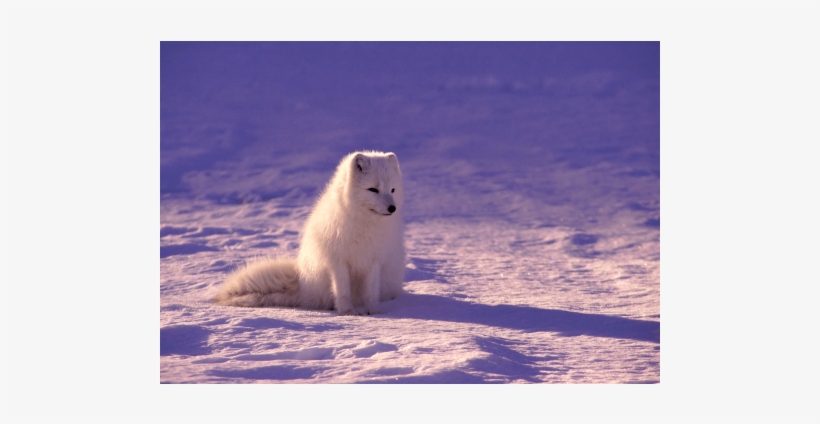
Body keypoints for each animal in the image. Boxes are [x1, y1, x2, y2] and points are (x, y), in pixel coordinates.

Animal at [213, 151, 406, 315]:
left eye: (392, 190)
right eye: (373, 189)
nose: (392, 208)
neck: (365, 225)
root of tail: (303, 285)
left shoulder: (375, 260)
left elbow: (371, 292)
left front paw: (373, 312)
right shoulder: (338, 261)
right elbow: (342, 291)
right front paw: (348, 312)